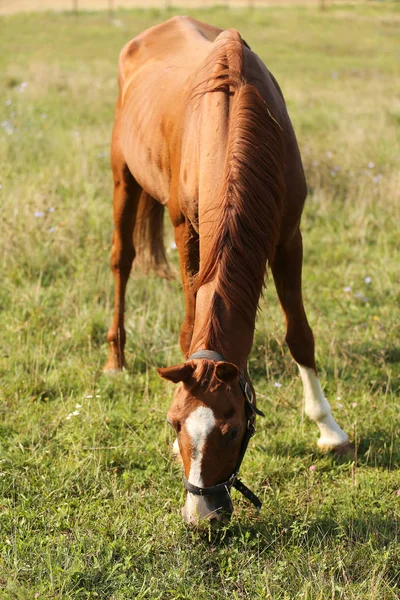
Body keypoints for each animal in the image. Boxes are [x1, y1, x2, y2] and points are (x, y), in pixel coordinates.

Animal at [104, 17, 352, 524]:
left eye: (234, 430)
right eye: (174, 423)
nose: (203, 518)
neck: (234, 114)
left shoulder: (288, 237)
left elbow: (300, 335)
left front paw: (329, 429)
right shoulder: (187, 231)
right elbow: (188, 328)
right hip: (124, 177)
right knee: (122, 260)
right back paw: (115, 359)